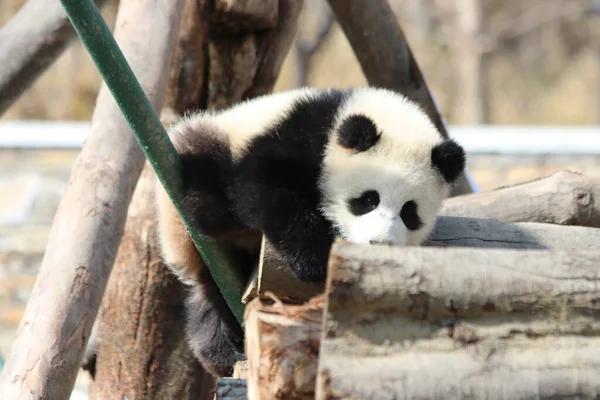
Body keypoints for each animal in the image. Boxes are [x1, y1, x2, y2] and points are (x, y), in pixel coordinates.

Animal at [154, 86, 464, 376]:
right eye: (368, 200)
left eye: (409, 212)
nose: (378, 243)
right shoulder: (296, 135)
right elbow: (265, 187)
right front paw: (316, 261)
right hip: (210, 150)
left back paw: (219, 352)